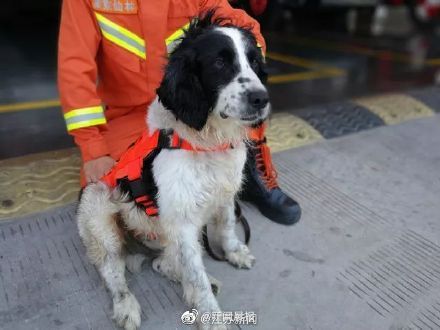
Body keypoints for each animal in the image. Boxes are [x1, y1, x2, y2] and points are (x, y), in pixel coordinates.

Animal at [78, 11, 270, 328]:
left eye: (255, 62)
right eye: (219, 63)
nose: (261, 98)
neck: (206, 142)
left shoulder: (225, 194)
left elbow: (227, 226)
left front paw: (234, 252)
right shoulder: (182, 223)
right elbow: (196, 278)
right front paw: (212, 317)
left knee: (161, 264)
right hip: (99, 210)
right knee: (113, 270)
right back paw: (126, 305)